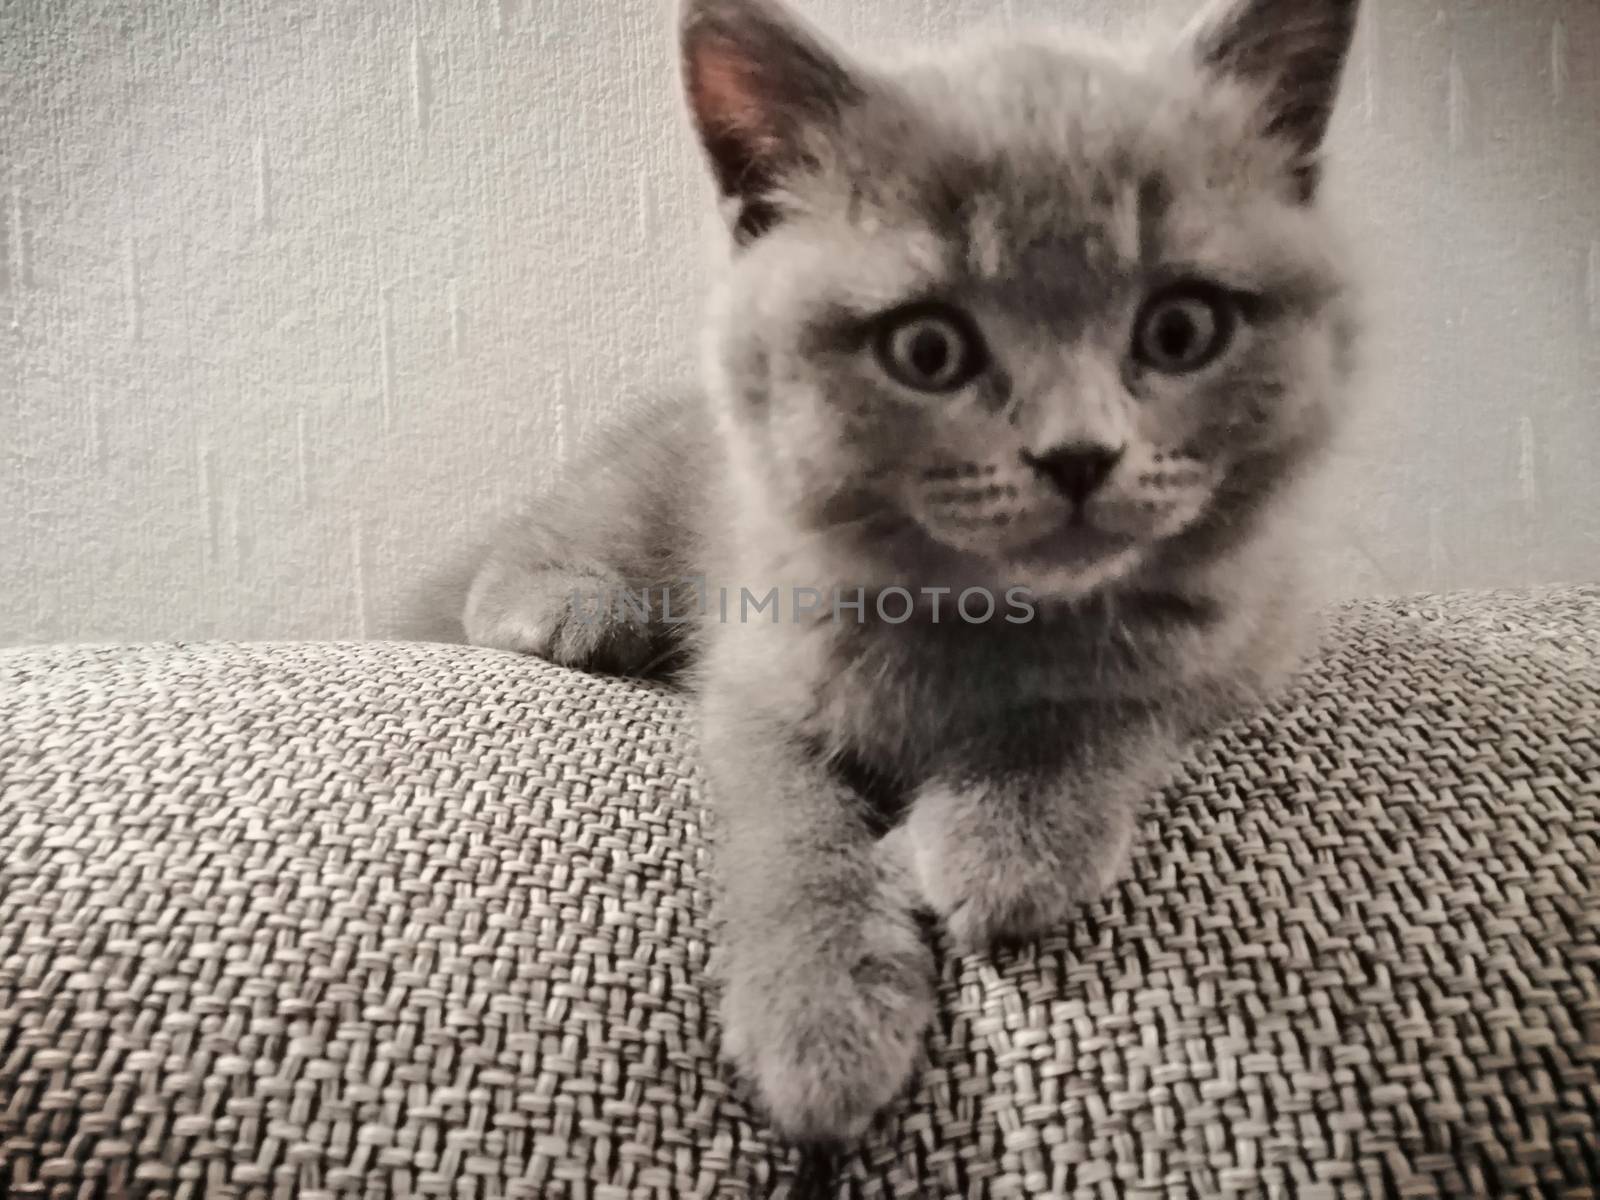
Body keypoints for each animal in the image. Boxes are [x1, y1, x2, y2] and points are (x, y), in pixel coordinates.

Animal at [464, 0, 1363, 1152]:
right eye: (927, 348)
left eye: (1180, 328)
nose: (1079, 455)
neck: (985, 612)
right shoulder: (759, 670)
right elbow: (788, 826)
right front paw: (818, 1014)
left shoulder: (1248, 629)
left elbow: (1116, 703)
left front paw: (1009, 840)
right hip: (635, 500)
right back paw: (560, 606)